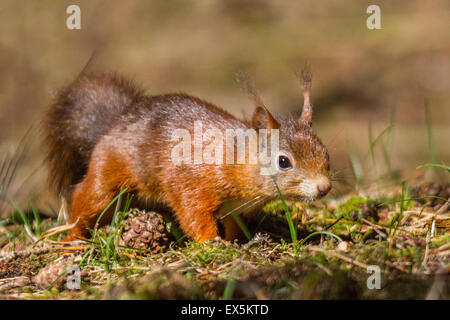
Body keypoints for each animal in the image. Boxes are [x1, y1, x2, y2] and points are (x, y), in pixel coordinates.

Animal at [44, 70, 330, 242]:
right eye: (283, 161)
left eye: (325, 152)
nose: (325, 188)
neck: (235, 158)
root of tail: (114, 122)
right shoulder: (192, 182)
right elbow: (193, 215)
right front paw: (211, 241)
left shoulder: (239, 208)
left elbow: (235, 225)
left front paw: (237, 241)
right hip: (108, 175)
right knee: (87, 198)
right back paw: (73, 237)